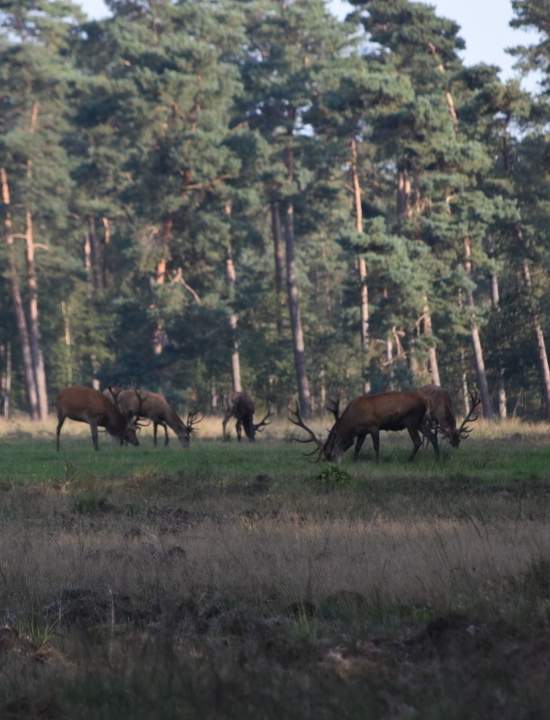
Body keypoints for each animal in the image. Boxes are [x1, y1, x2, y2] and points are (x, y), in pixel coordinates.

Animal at [288, 390, 436, 464]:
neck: (353, 422)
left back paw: (409, 460)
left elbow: (376, 446)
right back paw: (438, 457)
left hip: (411, 421)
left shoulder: (374, 426)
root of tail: (426, 401)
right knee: (432, 436)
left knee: (418, 441)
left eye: (329, 449)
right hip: (420, 422)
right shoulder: (361, 432)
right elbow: (357, 448)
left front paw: (377, 462)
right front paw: (354, 461)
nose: (331, 459)